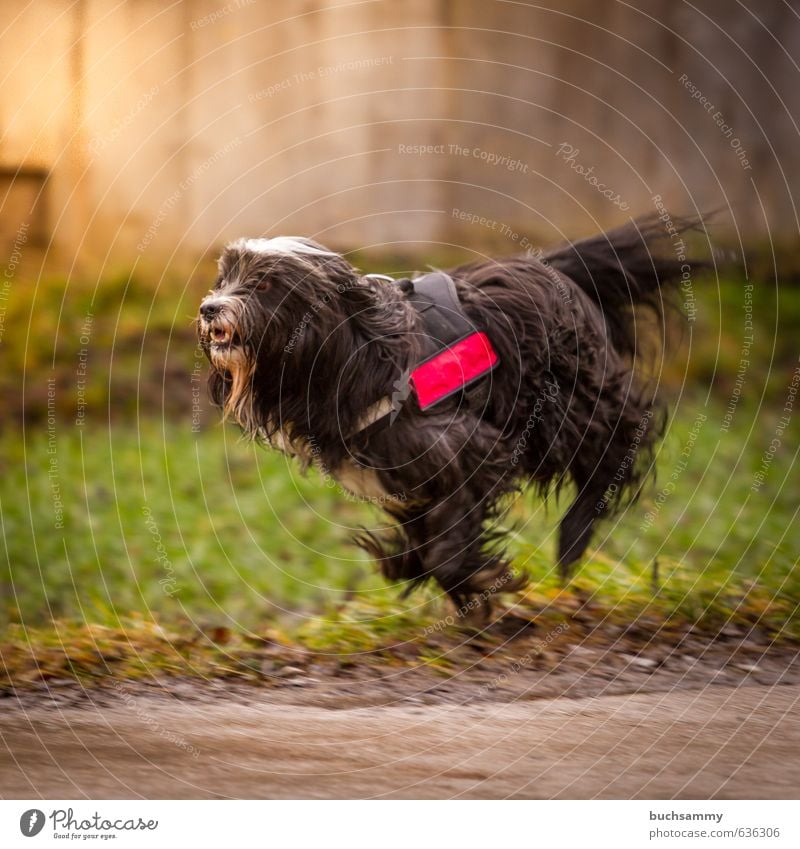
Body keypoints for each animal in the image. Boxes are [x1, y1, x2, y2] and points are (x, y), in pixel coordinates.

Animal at [197, 215, 704, 608]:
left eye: (265, 284)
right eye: (223, 279)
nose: (209, 308)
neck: (354, 351)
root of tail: (552, 266)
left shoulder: (468, 448)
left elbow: (446, 548)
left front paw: (475, 583)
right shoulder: (409, 483)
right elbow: (425, 539)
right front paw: (412, 565)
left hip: (564, 408)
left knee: (624, 434)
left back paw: (573, 539)